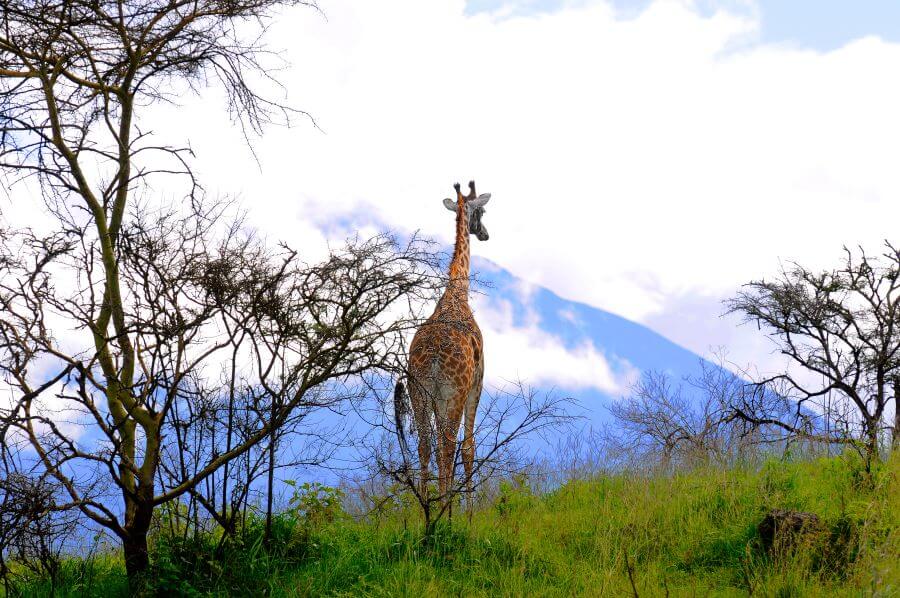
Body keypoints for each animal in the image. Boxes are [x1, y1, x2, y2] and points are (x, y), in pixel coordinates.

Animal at [395, 180, 490, 513]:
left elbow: (434, 445)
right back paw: (444, 509)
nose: (485, 233)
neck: (456, 292)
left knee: (426, 444)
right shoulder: (478, 380)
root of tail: (435, 358)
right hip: (452, 392)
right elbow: (468, 445)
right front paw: (470, 512)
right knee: (449, 444)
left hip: (418, 392)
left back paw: (425, 505)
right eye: (481, 212)